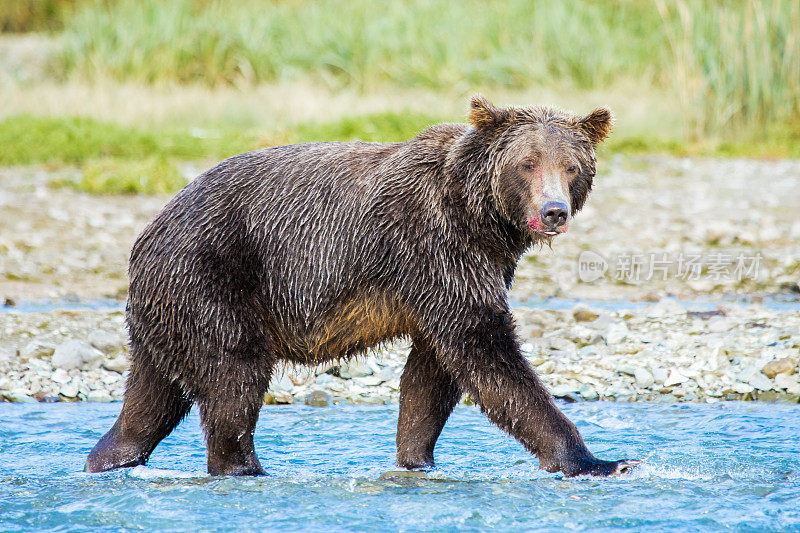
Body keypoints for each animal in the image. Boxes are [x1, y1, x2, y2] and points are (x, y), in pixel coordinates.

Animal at [86, 93, 636, 476]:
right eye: (528, 163)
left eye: (571, 166)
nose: (553, 210)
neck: (480, 219)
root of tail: (148, 232)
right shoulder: (432, 247)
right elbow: (485, 350)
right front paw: (599, 460)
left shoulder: (465, 270)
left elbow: (431, 375)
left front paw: (416, 459)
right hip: (213, 277)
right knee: (232, 379)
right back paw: (244, 467)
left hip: (167, 310)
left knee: (151, 399)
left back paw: (108, 458)